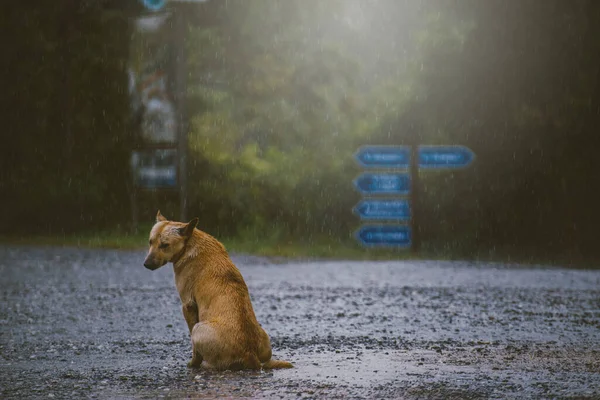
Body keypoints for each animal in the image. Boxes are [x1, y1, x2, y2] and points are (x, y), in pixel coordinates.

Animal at [141, 211, 290, 370]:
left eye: (165, 245)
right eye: (150, 242)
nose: (146, 264)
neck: (190, 243)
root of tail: (250, 354)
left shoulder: (188, 305)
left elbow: (194, 351)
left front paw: (193, 363)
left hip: (198, 329)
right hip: (265, 340)